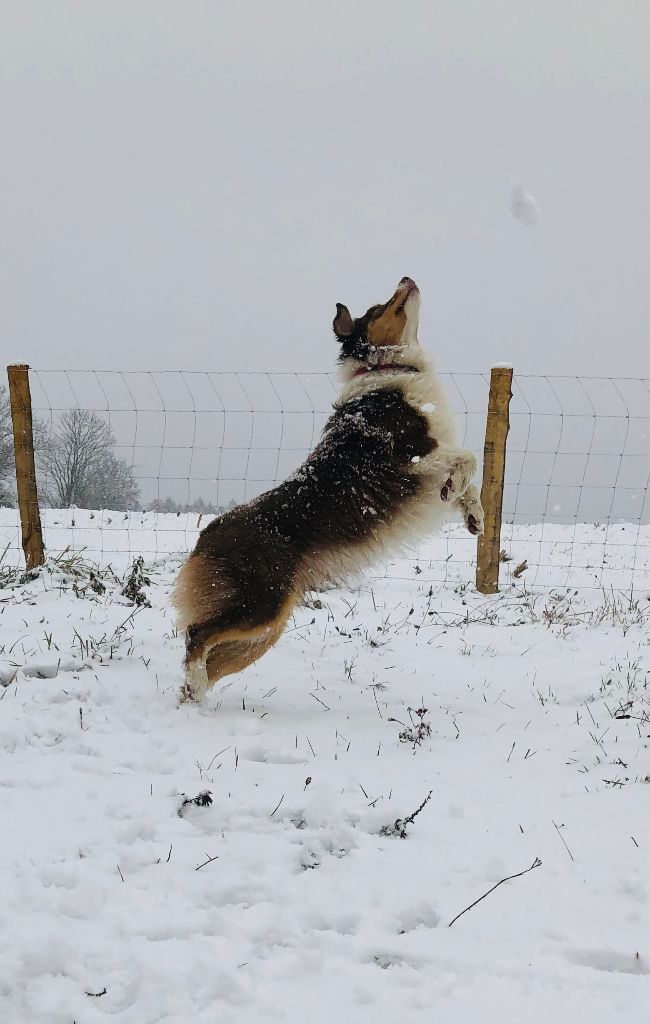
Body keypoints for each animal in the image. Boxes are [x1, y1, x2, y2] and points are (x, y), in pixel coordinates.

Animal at [172, 276, 483, 700]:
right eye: (378, 307)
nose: (407, 278)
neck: (387, 368)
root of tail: (207, 533)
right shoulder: (408, 456)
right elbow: (467, 458)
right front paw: (454, 487)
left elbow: (470, 480)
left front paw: (473, 516)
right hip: (261, 605)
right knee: (195, 634)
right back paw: (195, 683)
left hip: (265, 628)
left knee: (212, 655)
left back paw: (195, 696)